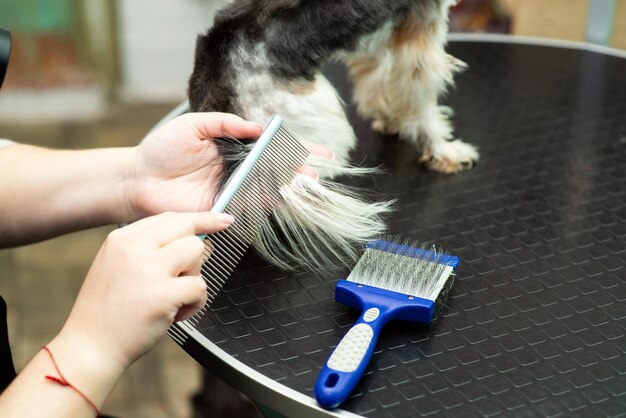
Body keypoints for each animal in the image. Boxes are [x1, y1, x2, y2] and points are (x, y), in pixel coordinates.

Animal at [188, 0, 476, 270]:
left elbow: (378, 77)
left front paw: (389, 118)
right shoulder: (423, 26)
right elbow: (420, 96)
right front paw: (442, 148)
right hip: (312, 121)